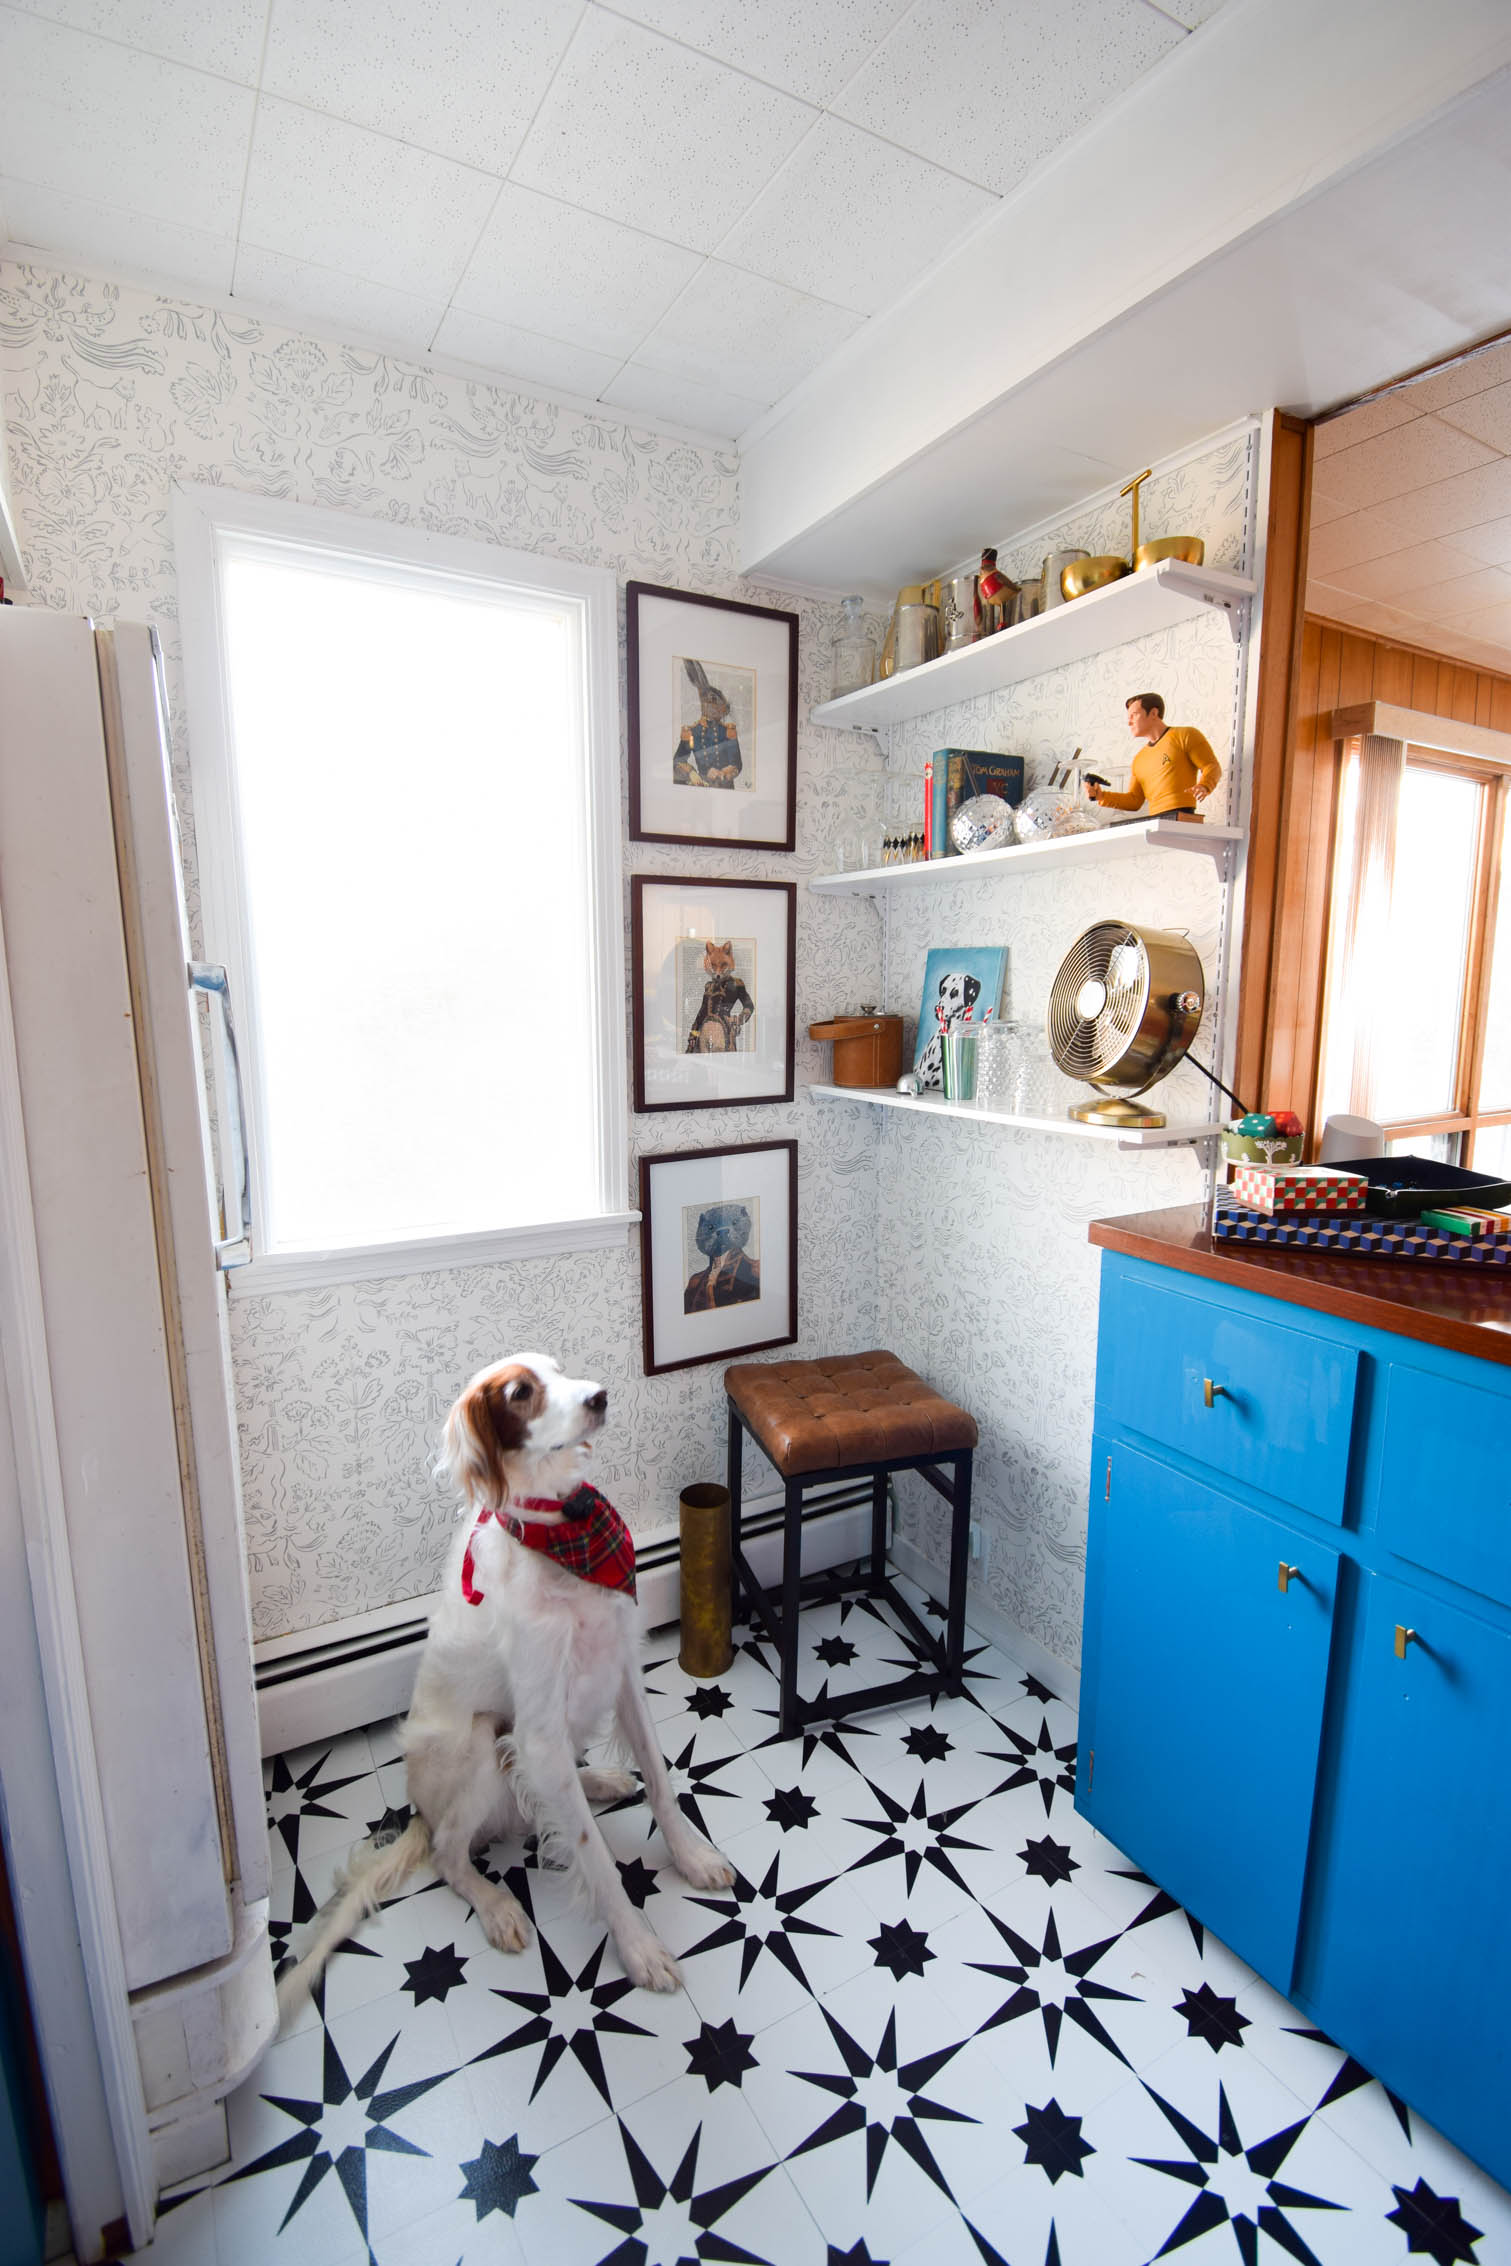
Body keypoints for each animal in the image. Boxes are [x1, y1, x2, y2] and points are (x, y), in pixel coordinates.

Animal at [283, 1341, 738, 2003]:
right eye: (521, 1393)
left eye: (560, 1372)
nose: (599, 1396)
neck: (565, 1534)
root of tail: (418, 1811)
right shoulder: (540, 1730)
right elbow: (594, 1856)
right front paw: (639, 1948)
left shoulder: (621, 1668)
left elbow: (660, 1780)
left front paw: (692, 1858)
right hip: (479, 1742)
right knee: (450, 1854)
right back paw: (496, 1905)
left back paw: (600, 1780)